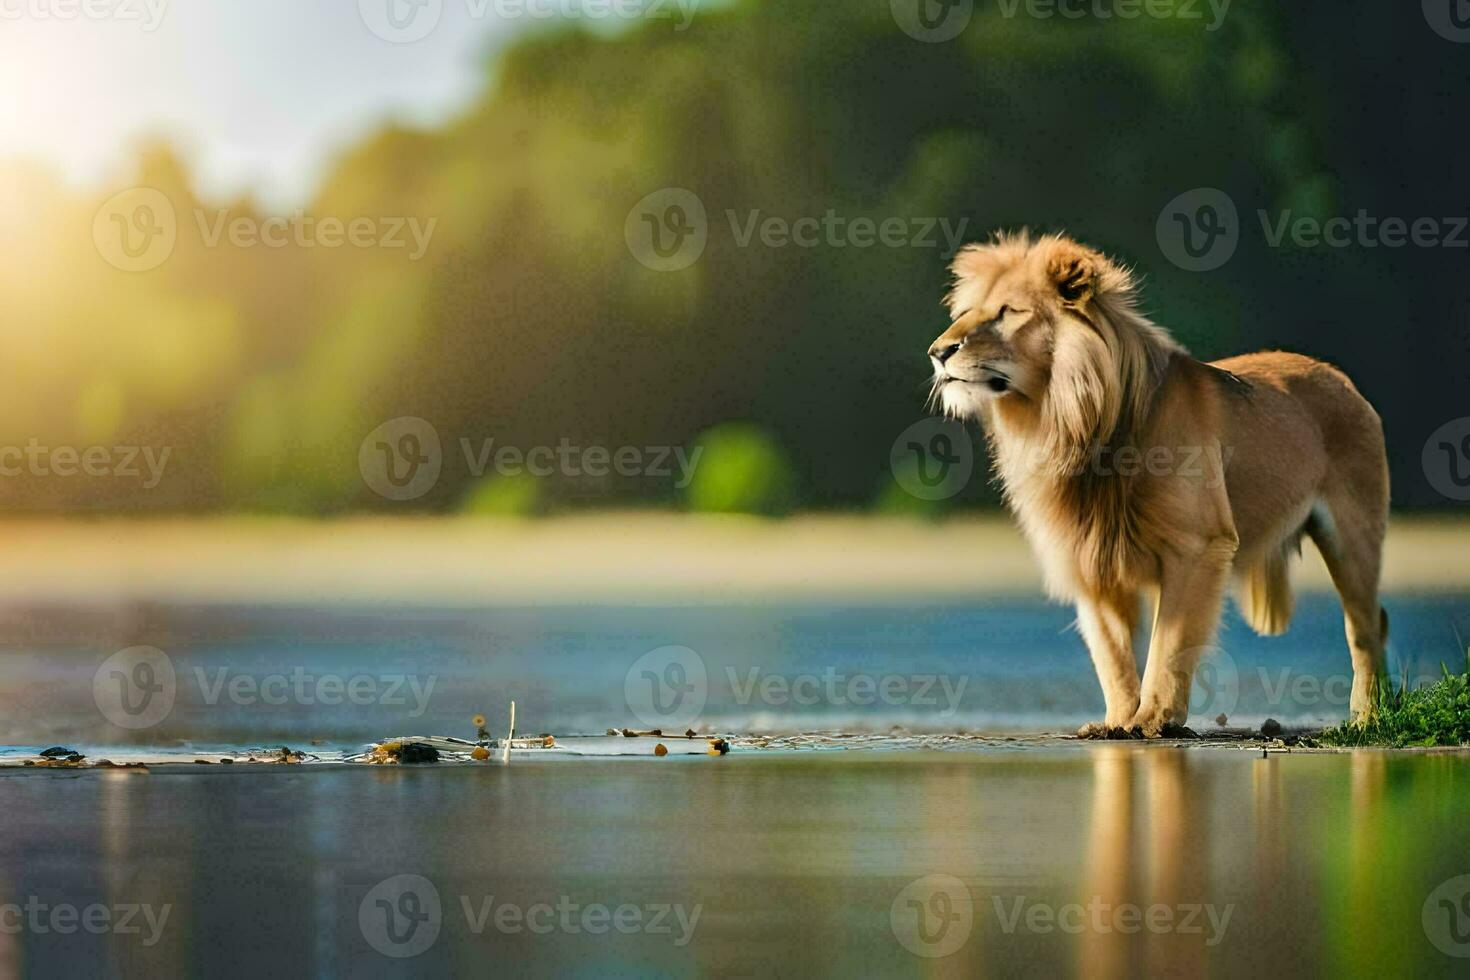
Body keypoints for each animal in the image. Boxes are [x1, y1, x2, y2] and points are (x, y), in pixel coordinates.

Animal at [929, 232, 1387, 734]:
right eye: (964, 313)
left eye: (1008, 311)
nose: (938, 352)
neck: (1063, 420)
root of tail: (1340, 378)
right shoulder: (1089, 555)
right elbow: (1111, 653)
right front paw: (1115, 722)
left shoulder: (1198, 546)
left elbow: (1170, 644)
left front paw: (1153, 719)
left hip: (1353, 536)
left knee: (1366, 625)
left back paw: (1369, 719)